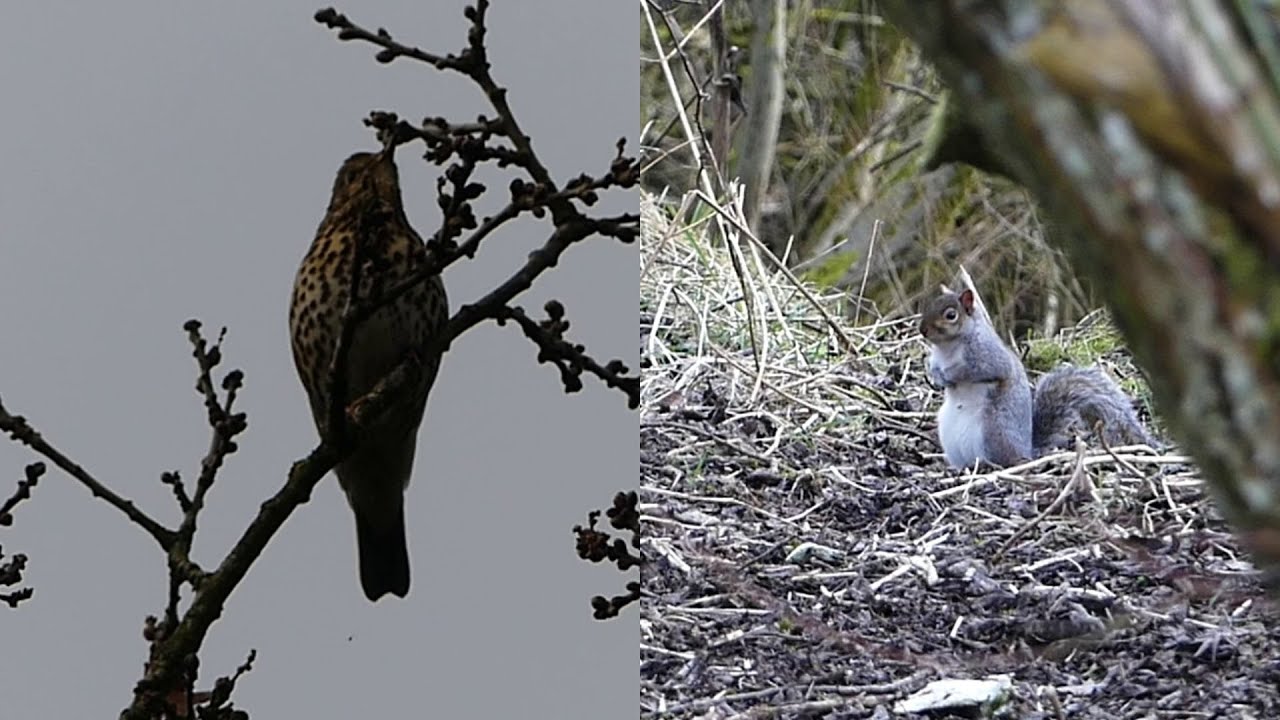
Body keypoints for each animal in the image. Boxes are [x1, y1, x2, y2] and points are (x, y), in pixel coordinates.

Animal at [918, 287, 1155, 469]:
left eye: (951, 315)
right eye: (929, 305)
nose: (923, 330)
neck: (948, 348)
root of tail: (1028, 450)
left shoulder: (987, 356)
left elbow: (977, 371)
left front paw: (950, 375)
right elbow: (935, 367)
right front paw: (937, 375)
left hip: (994, 430)